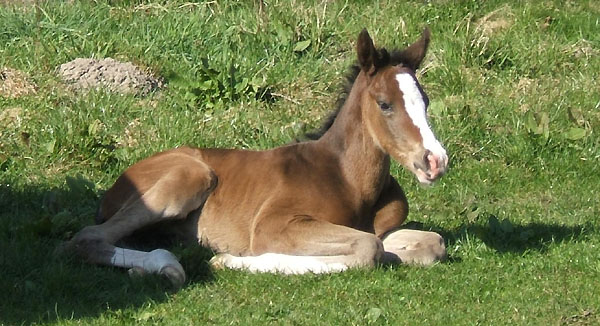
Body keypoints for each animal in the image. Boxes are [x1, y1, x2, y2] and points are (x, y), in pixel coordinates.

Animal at [64, 28, 450, 288]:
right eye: (385, 104)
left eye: (426, 101)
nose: (435, 161)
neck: (349, 180)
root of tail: (117, 183)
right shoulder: (275, 224)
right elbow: (369, 249)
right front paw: (230, 259)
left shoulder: (383, 228)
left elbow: (431, 243)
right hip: (190, 177)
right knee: (87, 237)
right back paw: (167, 265)